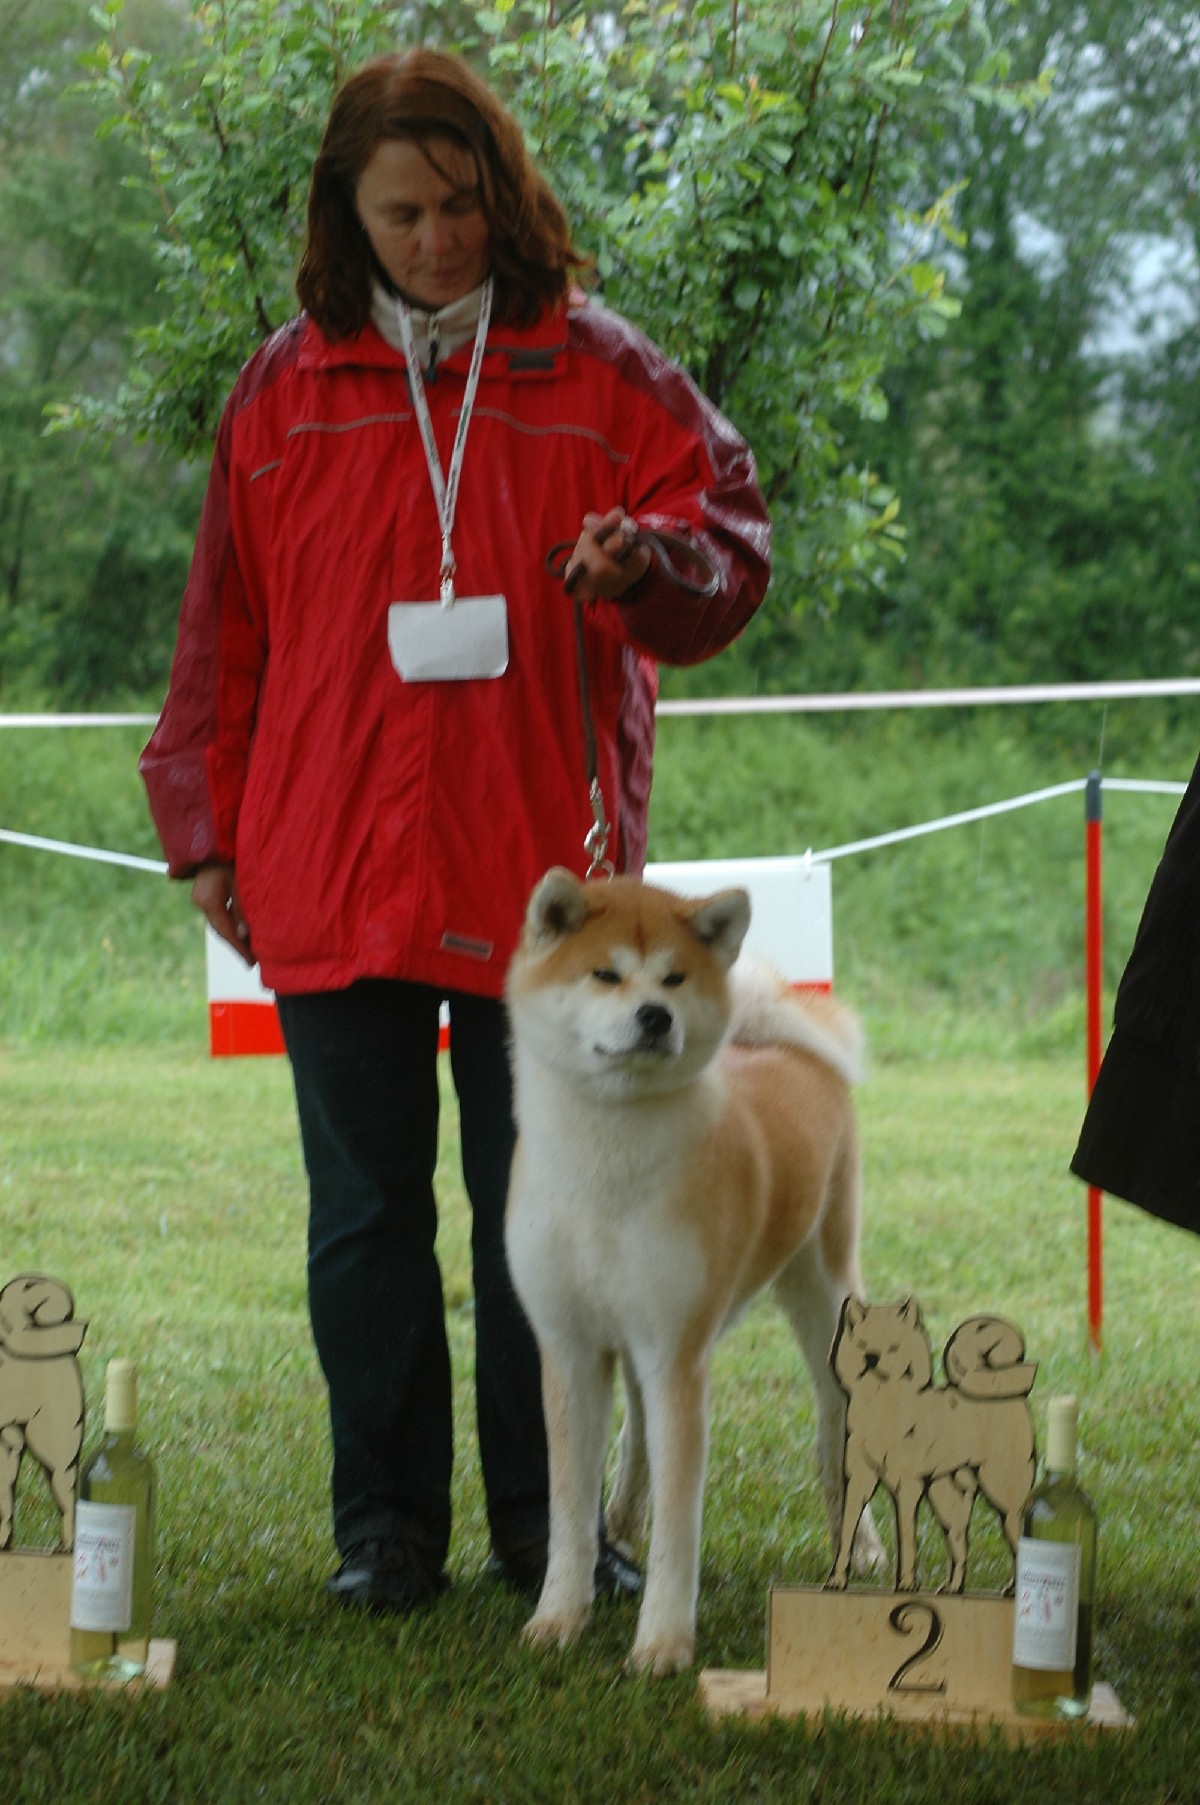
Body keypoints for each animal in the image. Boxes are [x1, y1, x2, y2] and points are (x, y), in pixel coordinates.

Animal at [504, 869, 884, 1674]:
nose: (655, 1016)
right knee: (636, 1435)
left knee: (836, 1428)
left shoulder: (676, 1355)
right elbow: (567, 1509)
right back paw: (623, 1518)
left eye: (675, 978)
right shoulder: (573, 1346)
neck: (604, 1169)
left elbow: (682, 1523)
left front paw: (663, 1643)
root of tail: (784, 1046)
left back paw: (859, 1544)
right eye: (605, 973)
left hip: (824, 1292)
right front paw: (558, 1617)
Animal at [827, 1296, 1036, 1594]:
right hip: (947, 1503)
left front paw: (905, 1584)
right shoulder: (858, 1482)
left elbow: (906, 1541)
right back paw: (953, 1588)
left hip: (1004, 1497)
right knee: (961, 1548)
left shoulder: (907, 1488)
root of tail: (1009, 1394)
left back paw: (1012, 1590)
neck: (881, 1408)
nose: (871, 1359)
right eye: (863, 1345)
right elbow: (847, 1535)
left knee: (1019, 1542)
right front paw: (837, 1581)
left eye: (893, 1347)